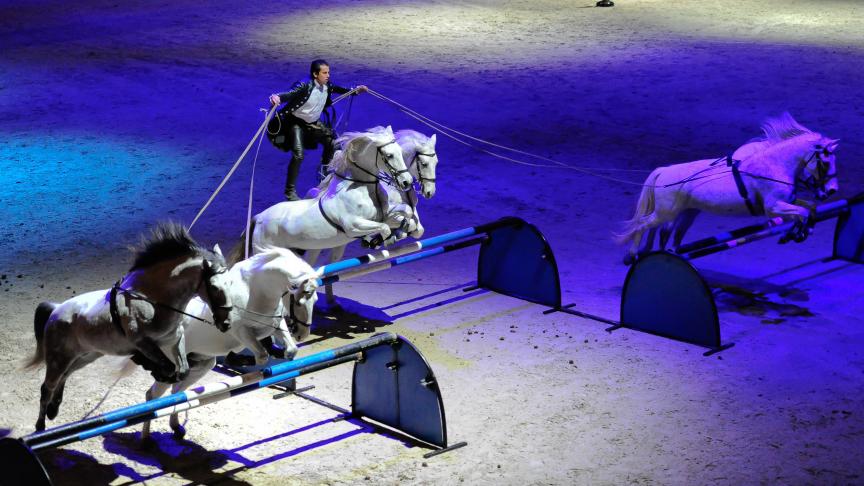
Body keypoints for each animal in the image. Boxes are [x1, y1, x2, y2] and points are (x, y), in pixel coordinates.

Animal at [25, 222, 235, 431]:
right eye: (214, 287)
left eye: (231, 283)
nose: (225, 323)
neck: (152, 298)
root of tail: (55, 310)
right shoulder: (142, 342)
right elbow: (167, 368)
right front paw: (154, 370)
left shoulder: (174, 339)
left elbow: (182, 370)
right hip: (58, 358)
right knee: (47, 387)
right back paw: (41, 425)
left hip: (86, 355)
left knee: (65, 375)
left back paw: (54, 409)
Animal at [141, 246, 319, 440]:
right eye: (300, 301)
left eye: (315, 299)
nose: (302, 334)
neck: (256, 291)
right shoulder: (241, 332)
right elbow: (261, 355)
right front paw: (240, 361)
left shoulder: (275, 325)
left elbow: (290, 349)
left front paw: (280, 353)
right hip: (172, 366)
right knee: (152, 396)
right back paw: (146, 439)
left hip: (201, 365)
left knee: (177, 392)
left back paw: (176, 427)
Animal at [226, 125, 413, 266]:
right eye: (389, 155)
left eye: (400, 151)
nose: (407, 182)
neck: (362, 188)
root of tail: (258, 218)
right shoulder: (353, 226)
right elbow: (384, 228)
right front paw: (382, 241)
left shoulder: (382, 217)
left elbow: (404, 217)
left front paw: (404, 231)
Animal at [617, 113, 839, 262]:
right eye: (825, 162)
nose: (831, 191)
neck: (773, 165)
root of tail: (663, 171)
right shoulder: (773, 207)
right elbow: (802, 213)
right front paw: (795, 234)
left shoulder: (788, 202)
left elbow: (809, 209)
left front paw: (798, 233)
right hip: (667, 212)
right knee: (643, 224)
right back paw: (633, 254)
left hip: (684, 214)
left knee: (663, 231)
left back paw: (652, 252)